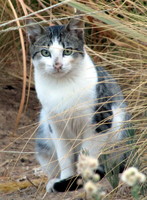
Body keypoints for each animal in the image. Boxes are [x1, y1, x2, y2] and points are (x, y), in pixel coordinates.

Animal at [26, 16, 130, 192]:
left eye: (67, 51)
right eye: (45, 52)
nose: (57, 64)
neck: (62, 86)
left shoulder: (99, 121)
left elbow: (87, 155)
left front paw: (82, 179)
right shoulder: (56, 127)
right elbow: (65, 157)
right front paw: (67, 178)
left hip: (119, 130)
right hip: (44, 138)